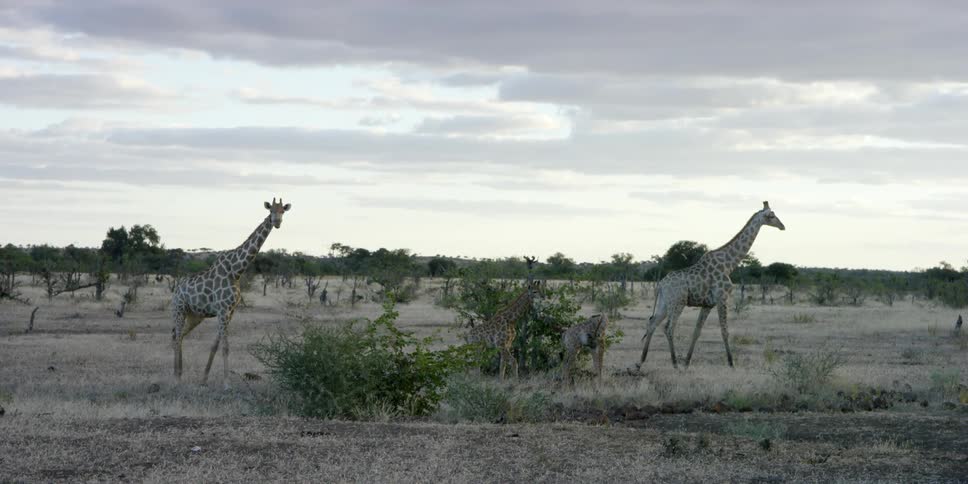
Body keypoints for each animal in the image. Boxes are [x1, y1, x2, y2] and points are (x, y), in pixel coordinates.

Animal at [171, 198, 291, 387]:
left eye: (283, 211)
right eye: (270, 210)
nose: (277, 222)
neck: (236, 271)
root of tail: (176, 290)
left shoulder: (230, 311)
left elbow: (216, 345)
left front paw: (204, 379)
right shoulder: (222, 310)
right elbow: (225, 347)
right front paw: (227, 383)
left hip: (195, 316)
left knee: (180, 336)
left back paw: (180, 374)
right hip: (179, 309)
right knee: (176, 337)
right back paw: (175, 378)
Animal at [638, 201, 785, 369]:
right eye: (771, 216)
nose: (782, 226)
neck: (729, 264)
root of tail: (661, 285)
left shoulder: (707, 304)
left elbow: (697, 331)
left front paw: (687, 362)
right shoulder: (722, 298)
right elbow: (725, 331)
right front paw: (731, 363)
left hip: (664, 303)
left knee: (652, 323)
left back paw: (641, 362)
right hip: (678, 302)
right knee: (668, 327)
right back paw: (674, 364)